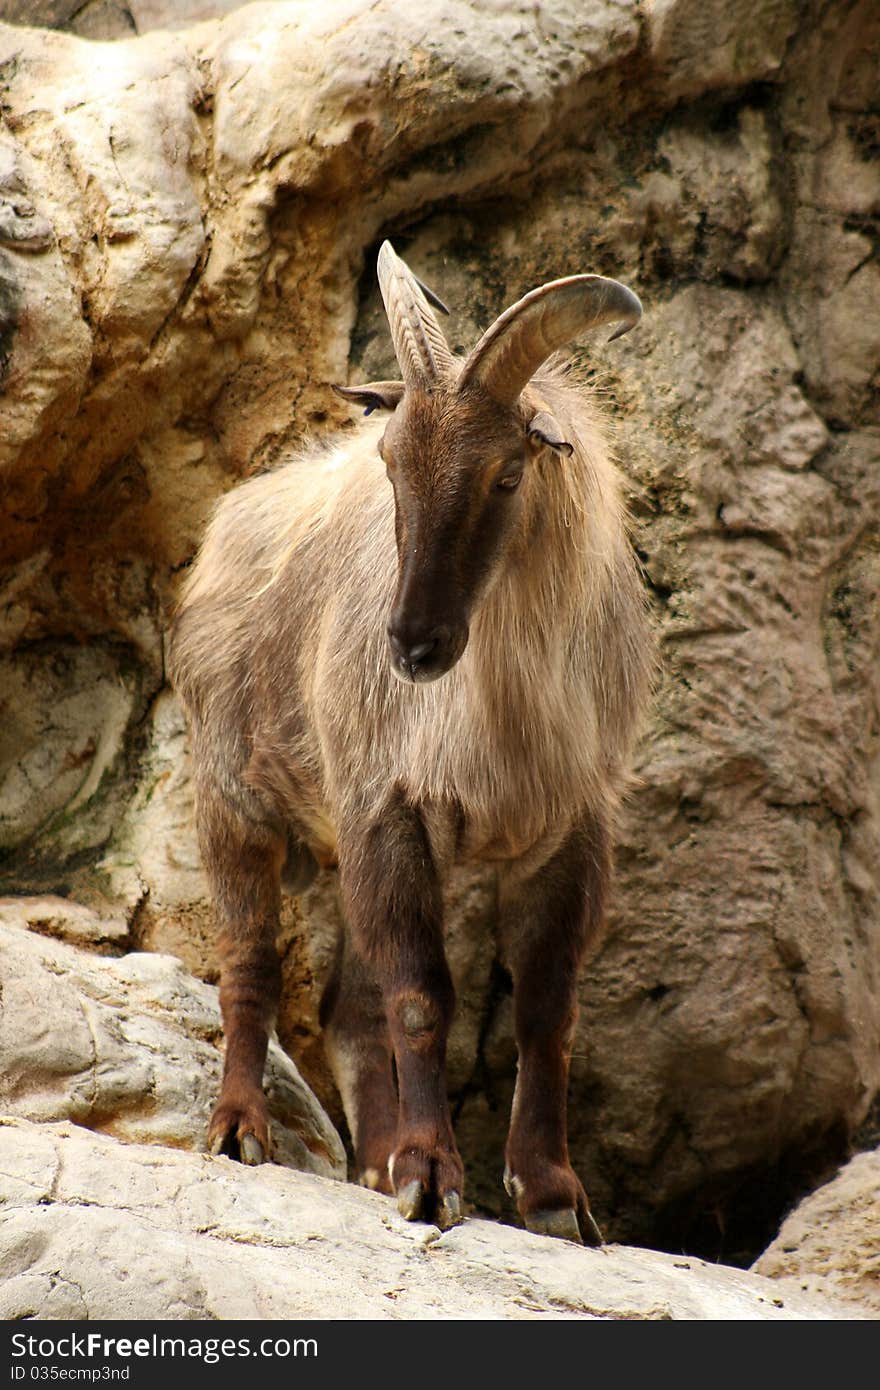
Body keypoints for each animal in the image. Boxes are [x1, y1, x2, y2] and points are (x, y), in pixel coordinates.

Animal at [169, 233, 653, 1245]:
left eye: (506, 472)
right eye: (391, 464)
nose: (411, 644)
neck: (500, 708)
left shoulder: (567, 828)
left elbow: (546, 1009)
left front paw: (553, 1197)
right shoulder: (387, 809)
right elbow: (423, 995)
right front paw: (432, 1178)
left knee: (348, 1009)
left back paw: (372, 1161)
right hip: (234, 799)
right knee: (250, 965)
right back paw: (240, 1130)